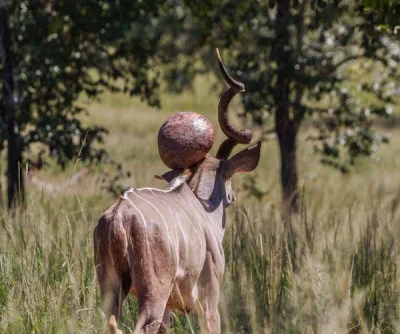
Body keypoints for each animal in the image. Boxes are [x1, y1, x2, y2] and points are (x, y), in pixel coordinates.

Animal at [94, 50, 262, 334]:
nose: (232, 198)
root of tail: (118, 218)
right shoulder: (209, 301)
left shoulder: (170, 311)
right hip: (154, 292)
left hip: (112, 290)